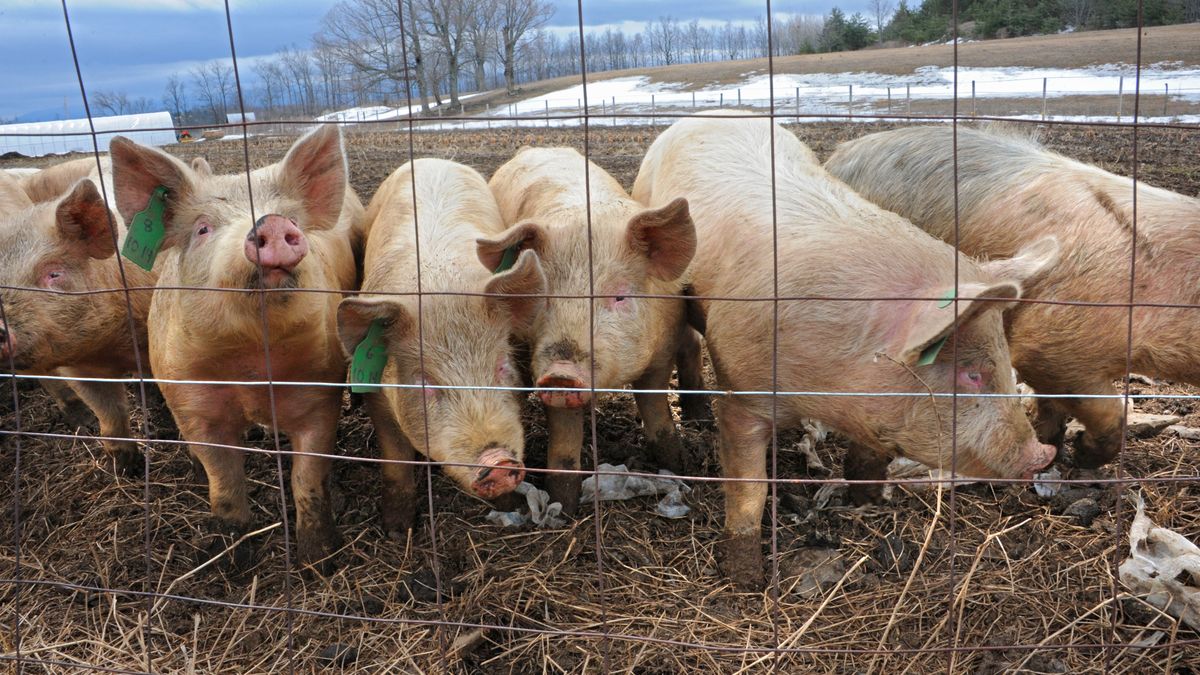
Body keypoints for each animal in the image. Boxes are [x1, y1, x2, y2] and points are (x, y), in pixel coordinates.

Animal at [109, 124, 363, 569]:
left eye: (291, 218)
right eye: (203, 229)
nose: (272, 222)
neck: (251, 367)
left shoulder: (320, 392)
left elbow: (308, 476)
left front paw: (320, 560)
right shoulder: (193, 402)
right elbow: (224, 482)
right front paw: (231, 562)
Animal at [336, 158, 546, 537]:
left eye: (501, 366)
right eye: (424, 383)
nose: (497, 461)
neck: (440, 289)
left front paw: (509, 509)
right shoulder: (380, 397)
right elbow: (395, 458)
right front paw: (397, 532)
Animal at [485, 147, 696, 514]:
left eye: (619, 295)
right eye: (542, 296)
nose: (561, 373)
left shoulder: (664, 350)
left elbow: (656, 408)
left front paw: (677, 467)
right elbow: (564, 437)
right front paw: (562, 507)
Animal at [632, 113, 1058, 589]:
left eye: (1004, 361)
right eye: (972, 373)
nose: (1043, 454)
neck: (826, 387)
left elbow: (871, 455)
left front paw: (867, 502)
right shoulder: (742, 391)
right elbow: (749, 488)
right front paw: (746, 579)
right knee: (687, 343)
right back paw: (697, 417)